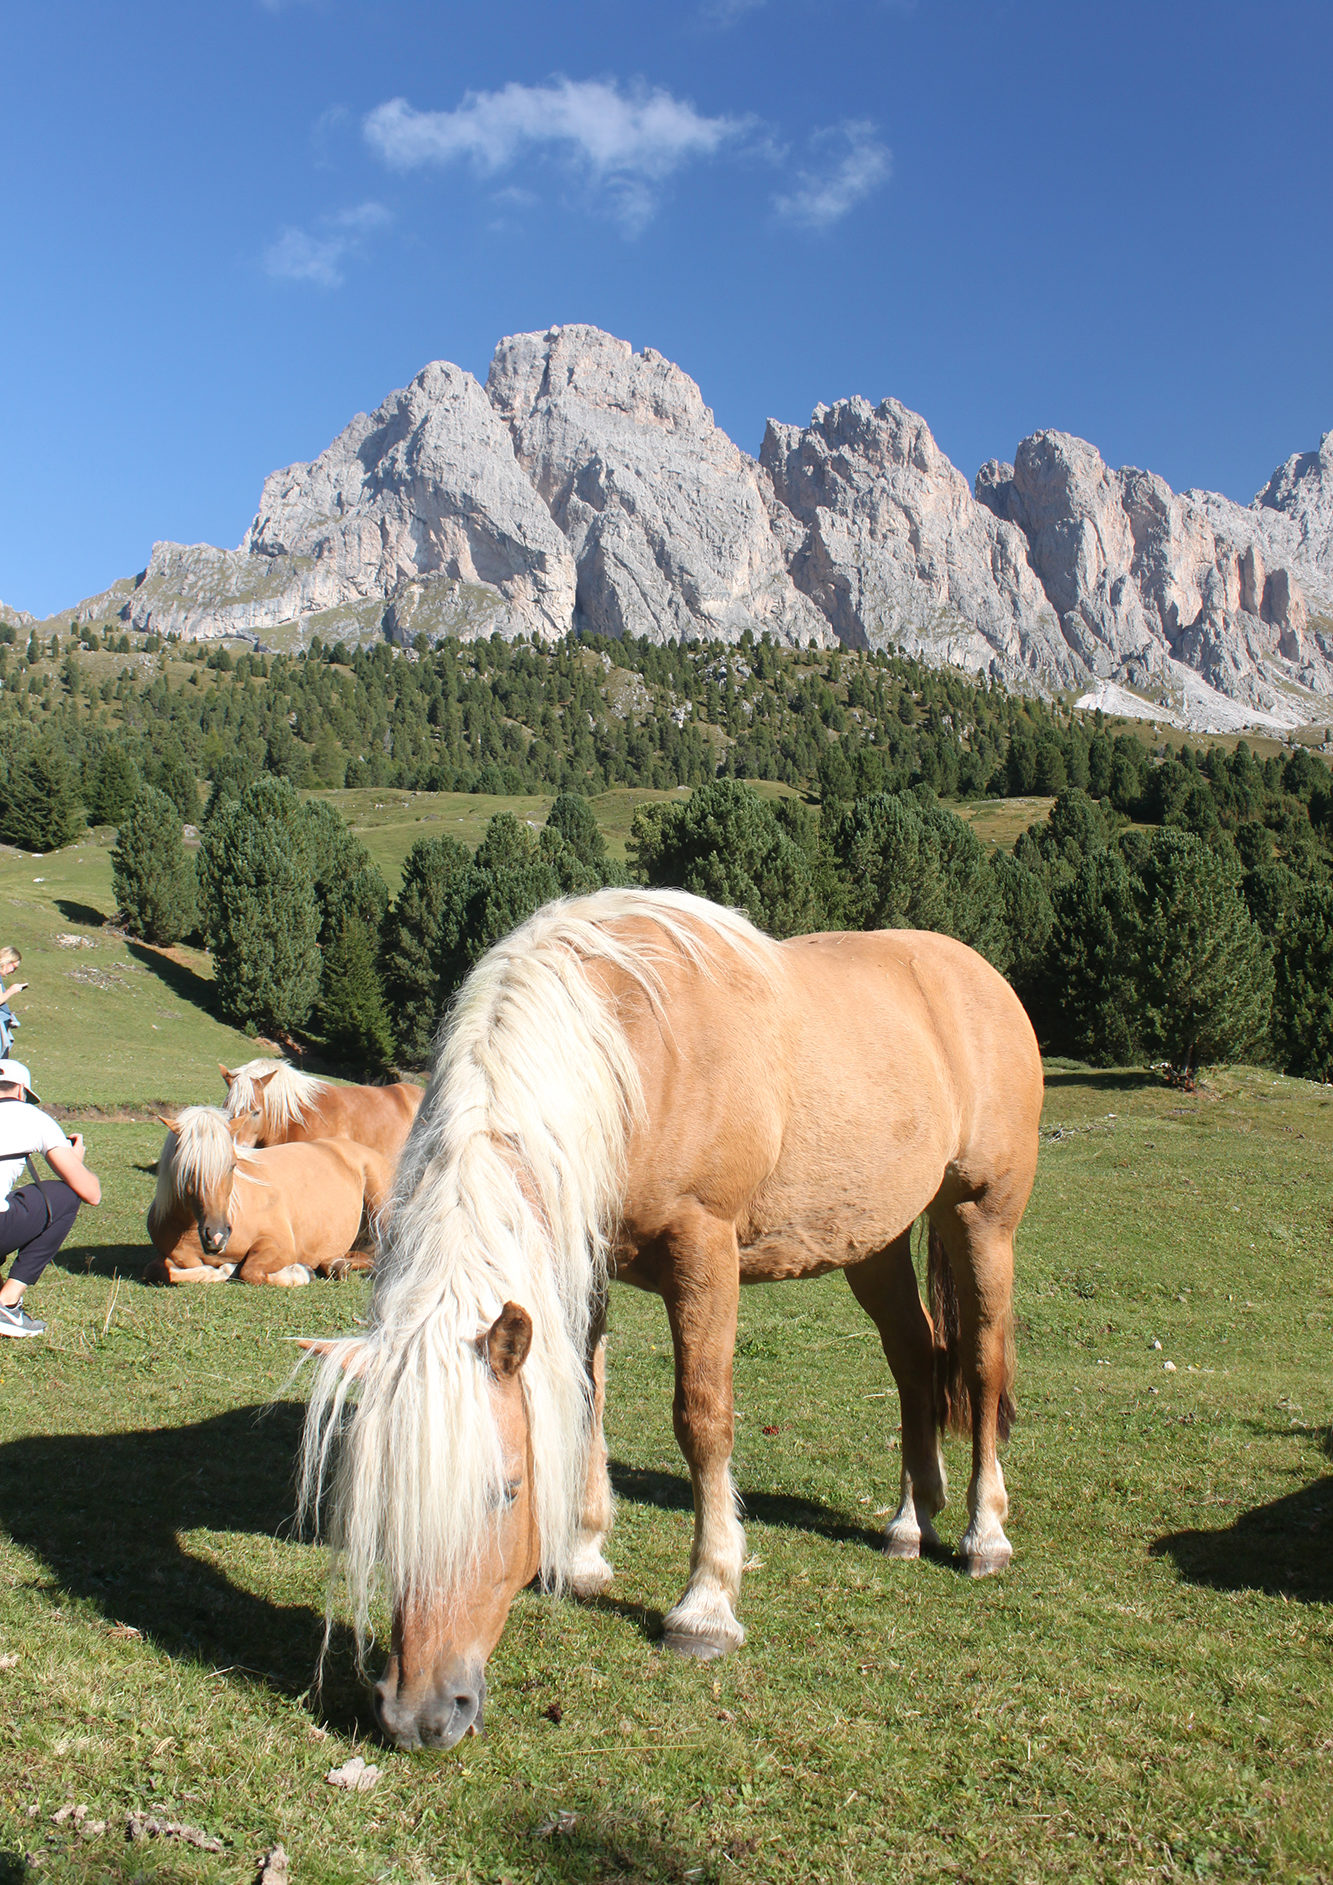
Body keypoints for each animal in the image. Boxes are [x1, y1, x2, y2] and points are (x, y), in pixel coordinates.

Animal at [150, 1100, 394, 1289]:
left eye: (232, 1165)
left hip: (381, 1209)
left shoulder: (279, 1245)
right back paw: (335, 1264)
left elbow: (251, 1271)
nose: (217, 1236)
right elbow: (160, 1270)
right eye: (187, 1169)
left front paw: (299, 1273)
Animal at [301, 889, 1040, 1741]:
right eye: (381, 1492)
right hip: (874, 1241)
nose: (418, 1712)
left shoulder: (704, 1251)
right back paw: (909, 1521)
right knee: (914, 1361)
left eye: (507, 1490)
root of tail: (977, 973)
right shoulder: (587, 1251)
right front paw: (584, 1555)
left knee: (981, 1365)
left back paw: (984, 1533)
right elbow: (584, 1397)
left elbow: (702, 1419)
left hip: (980, 1218)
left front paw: (705, 1605)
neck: (626, 1049)